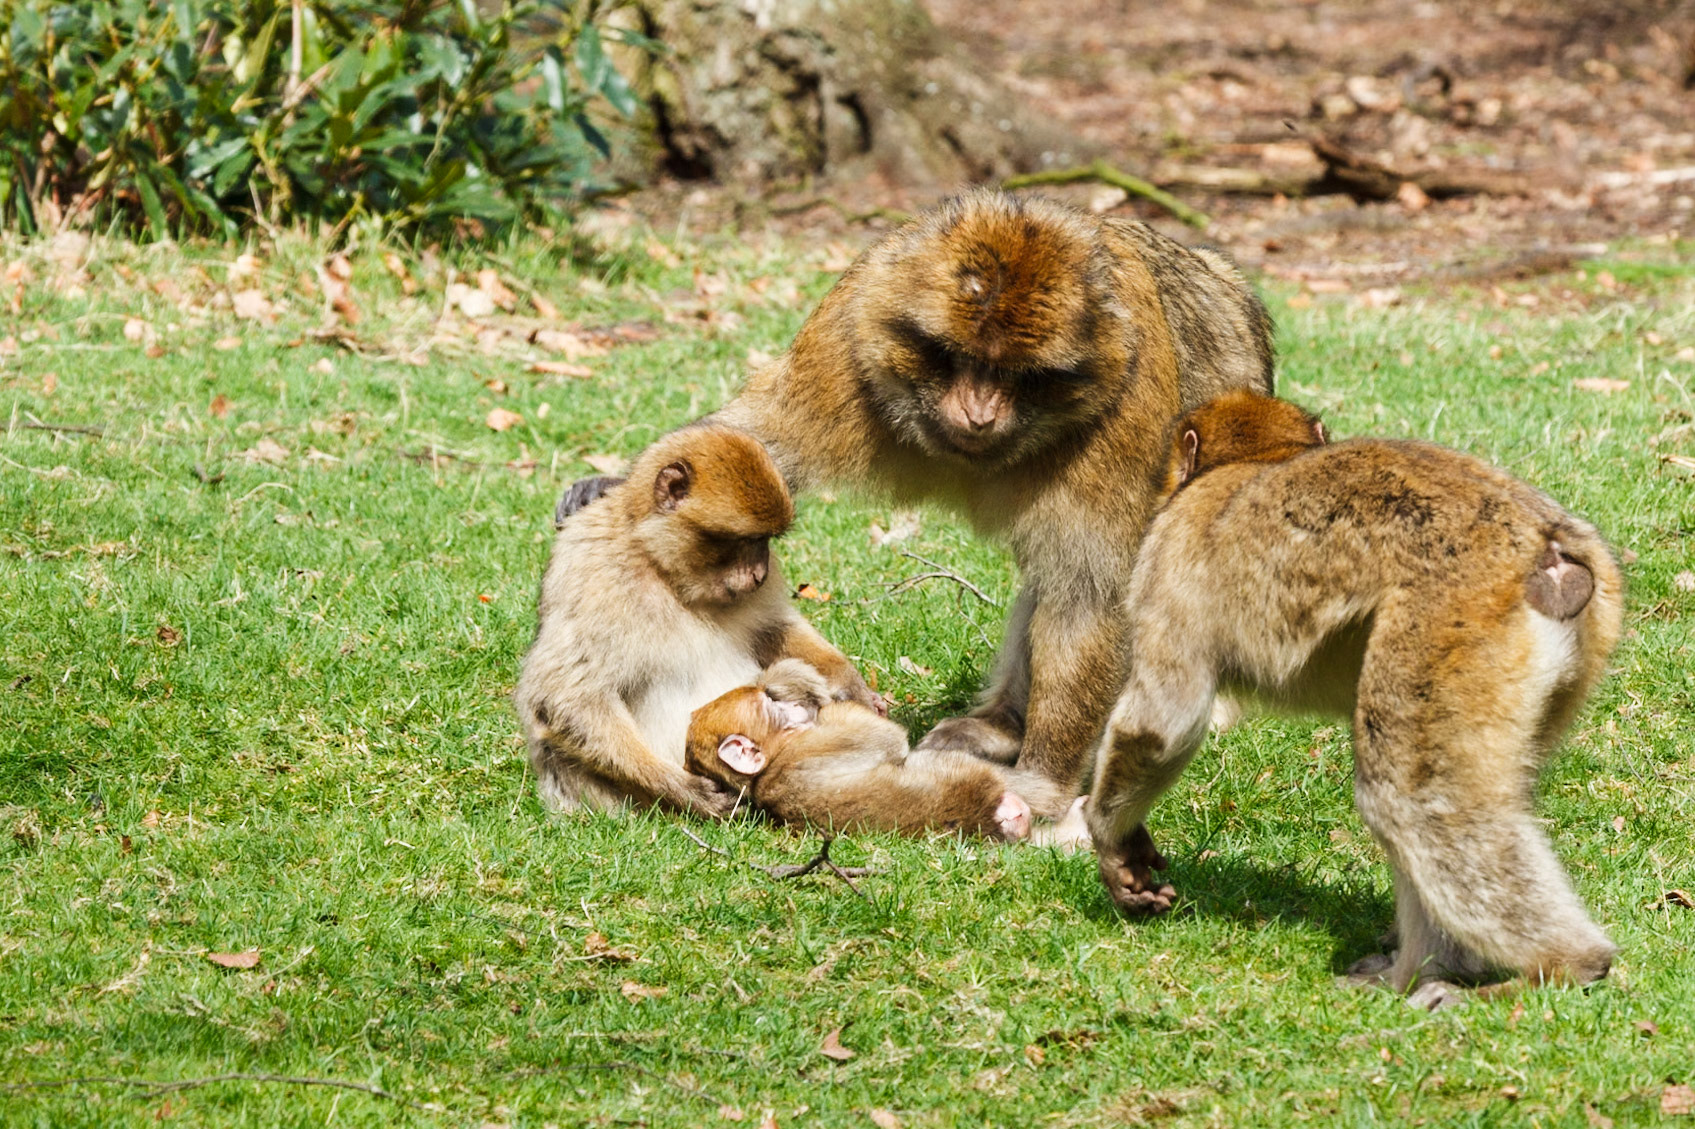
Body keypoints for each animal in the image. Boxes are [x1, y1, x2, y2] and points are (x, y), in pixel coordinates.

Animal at [515, 424, 881, 818]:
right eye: (746, 539)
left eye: (765, 540)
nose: (760, 573)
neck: (661, 567)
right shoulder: (589, 566)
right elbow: (564, 696)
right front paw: (685, 789)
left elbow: (772, 629)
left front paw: (850, 684)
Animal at [1083, 389, 1623, 1008]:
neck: (1258, 458)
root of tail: (1549, 548)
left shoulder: (1165, 562)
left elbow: (1162, 723)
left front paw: (1113, 841)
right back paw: (1418, 972)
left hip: (1450, 620)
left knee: (1410, 800)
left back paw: (1562, 965)